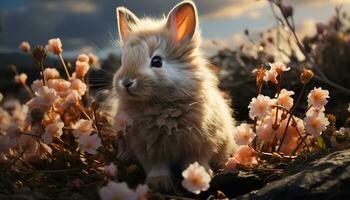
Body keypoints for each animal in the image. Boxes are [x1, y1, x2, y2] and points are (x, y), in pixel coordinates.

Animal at [111, 0, 238, 192]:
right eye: (123, 61)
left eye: (157, 61)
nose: (126, 82)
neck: (162, 104)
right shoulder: (147, 148)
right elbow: (156, 166)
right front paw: (159, 183)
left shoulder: (201, 143)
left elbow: (197, 161)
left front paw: (199, 177)